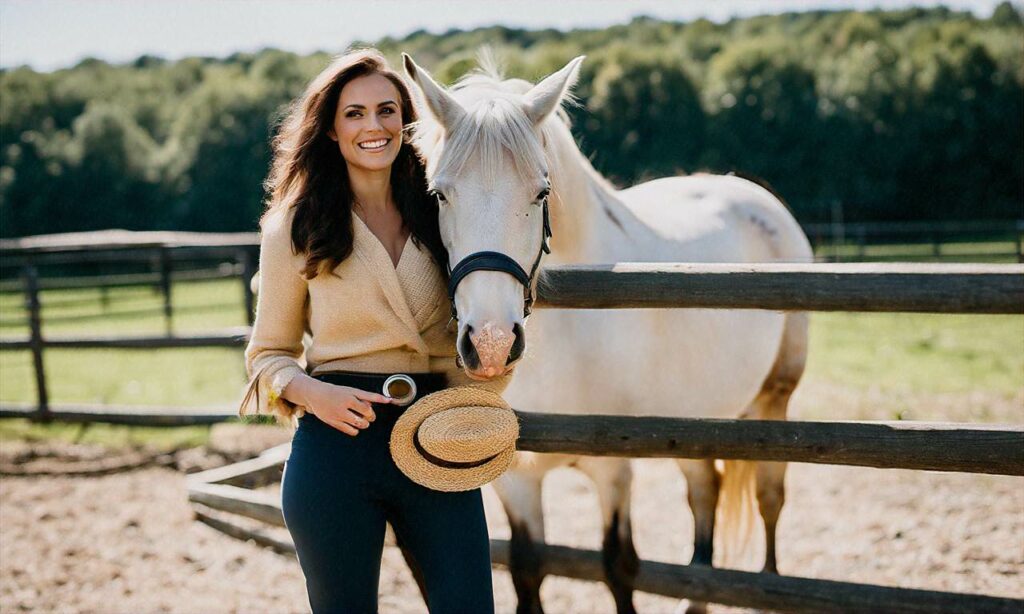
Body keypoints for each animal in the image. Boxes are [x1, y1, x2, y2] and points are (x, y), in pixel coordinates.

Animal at [403, 53, 811, 614]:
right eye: (438, 193)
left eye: (541, 192)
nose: (491, 344)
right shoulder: (517, 479)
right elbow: (528, 570)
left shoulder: (613, 470)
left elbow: (617, 566)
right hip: (695, 418)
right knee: (704, 490)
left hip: (774, 401)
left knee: (770, 497)